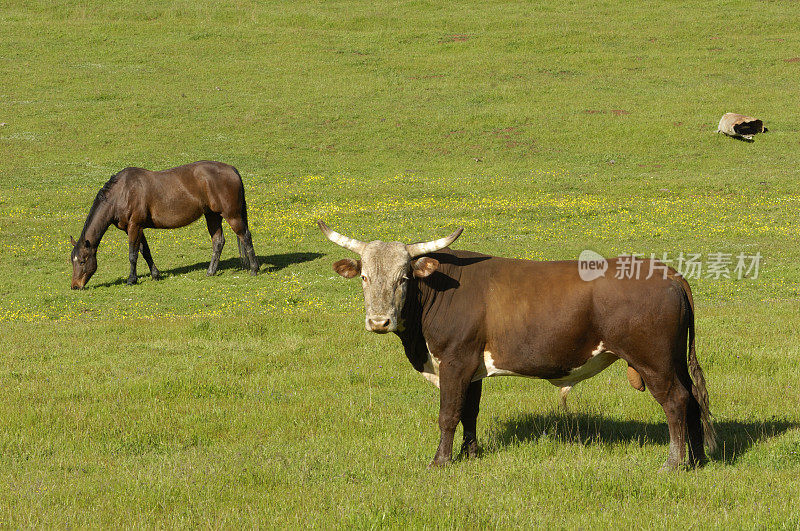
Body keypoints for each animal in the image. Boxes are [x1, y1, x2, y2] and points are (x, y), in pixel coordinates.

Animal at [70, 160, 260, 288]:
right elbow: (145, 252)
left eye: (83, 261)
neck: (122, 192)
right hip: (212, 216)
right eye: (72, 261)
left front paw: (132, 279)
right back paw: (210, 272)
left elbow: (133, 255)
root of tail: (232, 169)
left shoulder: (134, 226)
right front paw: (155, 274)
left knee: (245, 237)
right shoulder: (137, 228)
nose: (75, 286)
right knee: (218, 242)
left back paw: (254, 269)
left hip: (232, 215)